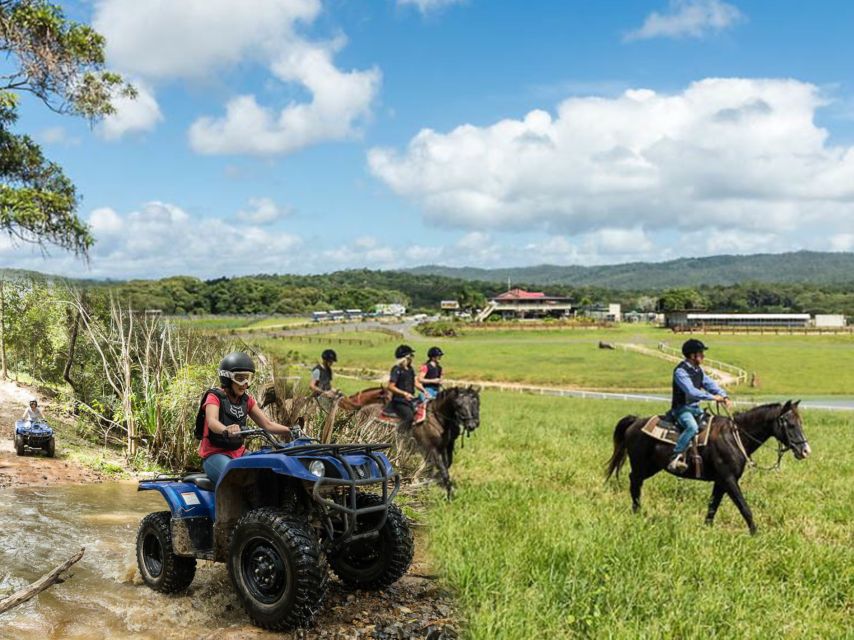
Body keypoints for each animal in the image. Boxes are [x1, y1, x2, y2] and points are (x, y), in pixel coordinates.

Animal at [604, 400, 812, 536]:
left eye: (800, 423)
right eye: (790, 424)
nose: (805, 451)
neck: (734, 437)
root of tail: (636, 421)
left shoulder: (721, 481)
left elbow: (713, 505)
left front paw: (707, 528)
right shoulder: (729, 479)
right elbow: (744, 507)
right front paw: (756, 534)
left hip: (652, 467)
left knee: (635, 481)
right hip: (642, 465)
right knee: (634, 481)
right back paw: (637, 512)